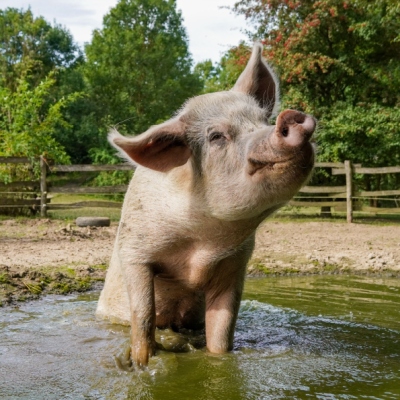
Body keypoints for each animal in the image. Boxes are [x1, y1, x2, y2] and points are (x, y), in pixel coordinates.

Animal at [97, 43, 316, 366]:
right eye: (216, 136)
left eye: (262, 122)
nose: (292, 118)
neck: (201, 244)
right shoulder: (133, 250)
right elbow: (144, 312)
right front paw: (141, 361)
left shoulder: (235, 266)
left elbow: (222, 329)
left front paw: (217, 360)